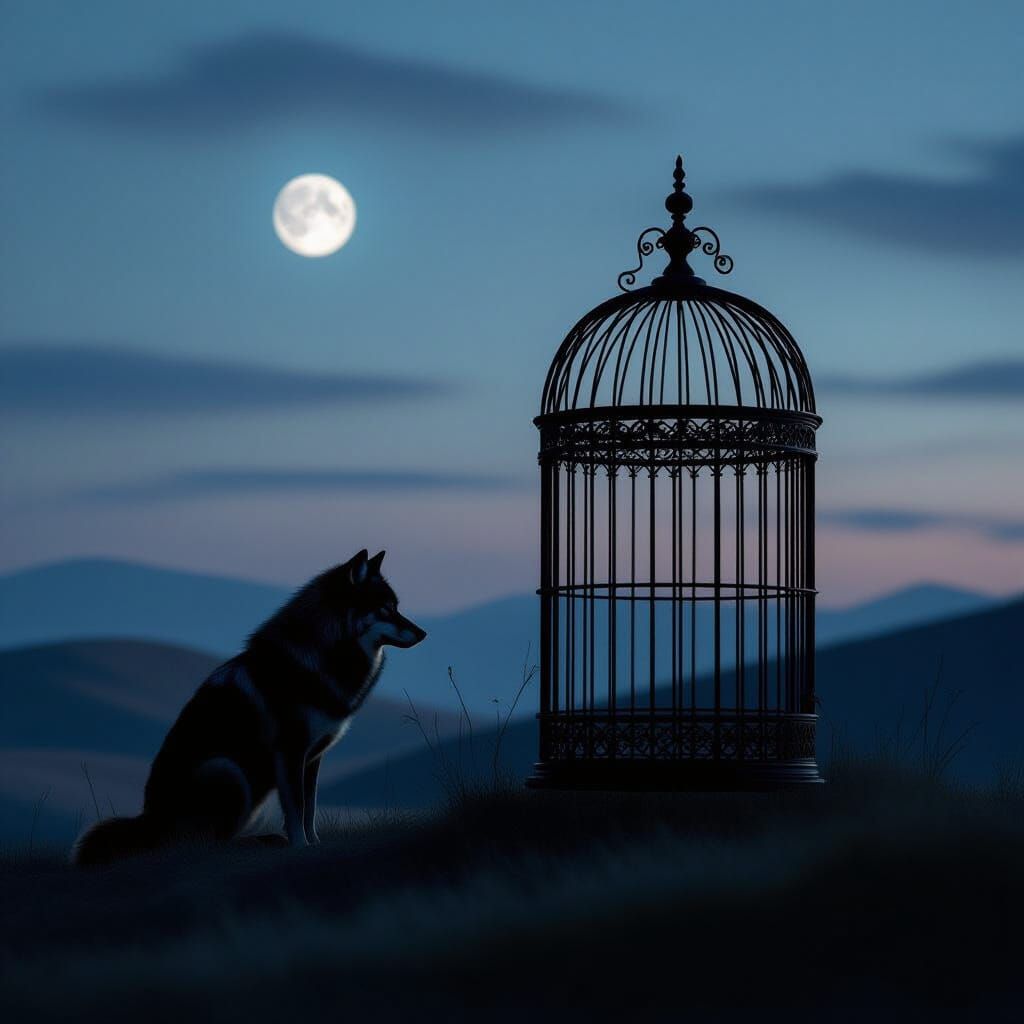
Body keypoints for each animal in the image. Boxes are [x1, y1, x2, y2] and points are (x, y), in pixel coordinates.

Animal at [72, 549, 426, 865]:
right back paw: (257, 842)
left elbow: (310, 808)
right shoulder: (290, 753)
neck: (322, 654)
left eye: (397, 607)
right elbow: (297, 808)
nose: (423, 633)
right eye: (385, 609)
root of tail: (148, 823)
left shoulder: (313, 758)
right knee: (207, 844)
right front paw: (300, 848)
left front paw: (314, 844)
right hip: (227, 771)